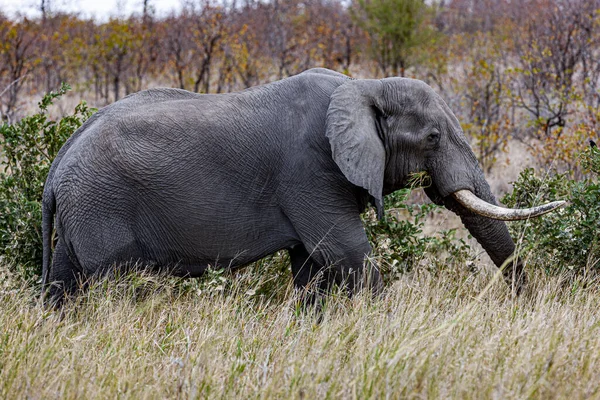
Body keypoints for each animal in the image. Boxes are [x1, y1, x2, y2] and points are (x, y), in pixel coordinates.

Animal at [41, 69, 564, 306]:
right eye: (433, 137)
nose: (525, 304)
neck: (365, 86)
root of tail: (56, 167)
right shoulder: (312, 171)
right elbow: (347, 253)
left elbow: (312, 266)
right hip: (103, 206)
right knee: (114, 284)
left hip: (81, 210)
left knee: (65, 282)